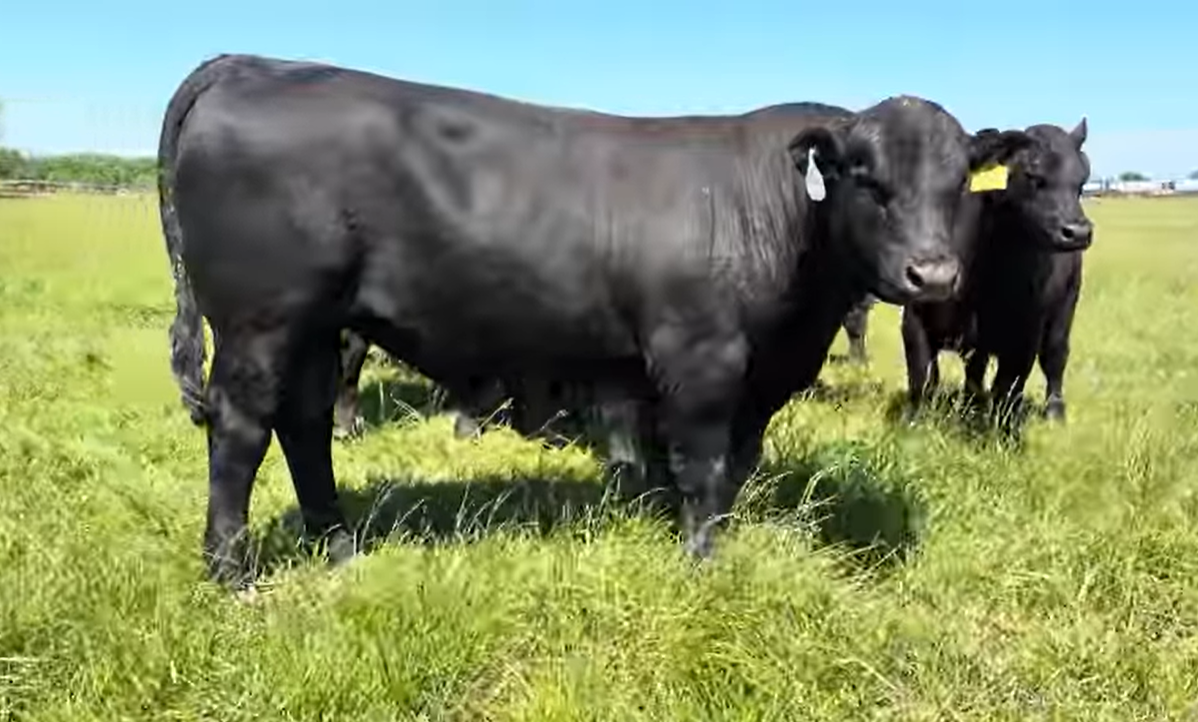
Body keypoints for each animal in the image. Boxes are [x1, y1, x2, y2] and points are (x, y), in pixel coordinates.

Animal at [158, 53, 1033, 587]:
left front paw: (707, 535)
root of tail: (253, 63)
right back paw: (232, 572)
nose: (933, 274)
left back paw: (339, 548)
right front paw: (700, 559)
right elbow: (701, 463)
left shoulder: (758, 378)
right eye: (865, 176)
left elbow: (732, 467)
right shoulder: (699, 359)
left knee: (304, 426)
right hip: (262, 324)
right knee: (241, 431)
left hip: (315, 326)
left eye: (957, 181)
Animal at [899, 119, 1093, 428]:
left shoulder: (1024, 336)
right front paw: (913, 423)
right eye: (1032, 175)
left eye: (1081, 182)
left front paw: (1002, 432)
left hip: (1065, 306)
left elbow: (1008, 388)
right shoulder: (914, 319)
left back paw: (1054, 412)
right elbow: (923, 377)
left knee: (1054, 357)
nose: (1078, 232)